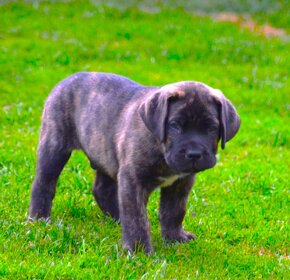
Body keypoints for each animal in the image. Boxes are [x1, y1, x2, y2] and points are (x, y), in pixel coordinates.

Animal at [28, 72, 240, 254]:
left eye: (211, 128)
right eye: (175, 125)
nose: (194, 154)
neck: (160, 147)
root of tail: (67, 78)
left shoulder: (181, 183)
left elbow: (174, 211)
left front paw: (175, 238)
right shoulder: (133, 180)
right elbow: (137, 218)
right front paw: (140, 252)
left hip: (106, 154)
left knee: (102, 189)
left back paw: (117, 218)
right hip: (54, 145)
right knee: (43, 183)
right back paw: (39, 219)